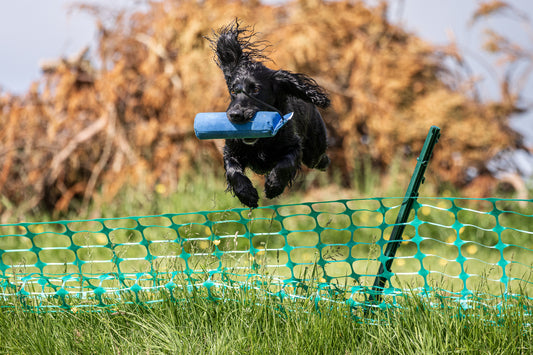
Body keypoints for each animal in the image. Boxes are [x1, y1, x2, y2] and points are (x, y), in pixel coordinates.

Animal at [208, 20, 328, 209]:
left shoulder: (294, 147)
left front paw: (273, 186)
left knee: (318, 159)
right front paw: (246, 194)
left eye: (256, 89)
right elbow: (233, 171)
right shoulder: (231, 150)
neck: (260, 143)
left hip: (314, 150)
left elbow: (285, 163)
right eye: (234, 90)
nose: (235, 115)